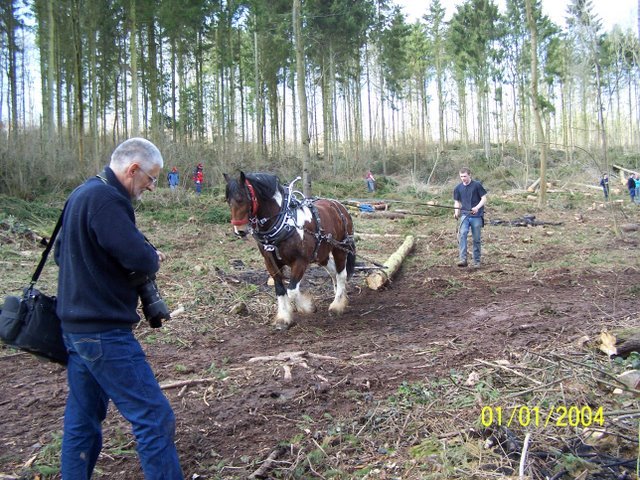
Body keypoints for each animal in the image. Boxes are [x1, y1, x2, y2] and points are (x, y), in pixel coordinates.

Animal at [224, 172, 356, 330]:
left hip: (340, 248)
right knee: (333, 272)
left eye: (241, 198)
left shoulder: (300, 261)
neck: (285, 223)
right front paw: (283, 318)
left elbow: (292, 290)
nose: (240, 230)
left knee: (341, 274)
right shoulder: (270, 262)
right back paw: (339, 295)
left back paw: (337, 305)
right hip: (321, 253)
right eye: (228, 200)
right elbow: (281, 290)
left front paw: (307, 307)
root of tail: (339, 206)